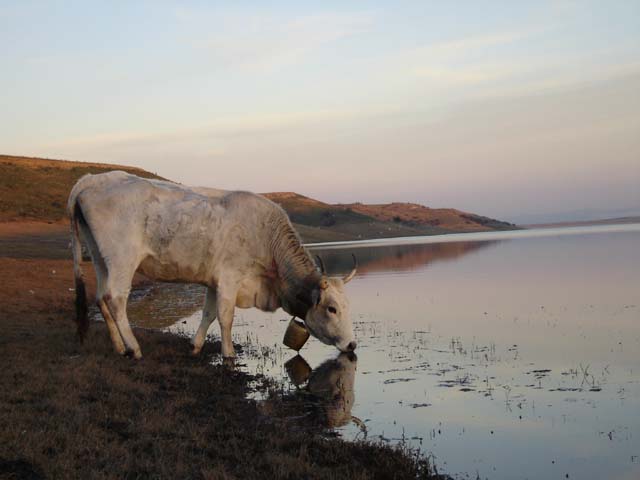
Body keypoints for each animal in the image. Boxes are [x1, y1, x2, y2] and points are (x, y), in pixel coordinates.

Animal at [68, 171, 358, 358]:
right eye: (331, 308)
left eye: (347, 306)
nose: (352, 345)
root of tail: (91, 179)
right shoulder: (230, 277)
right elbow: (225, 317)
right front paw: (228, 354)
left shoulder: (213, 281)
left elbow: (207, 313)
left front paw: (195, 346)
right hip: (122, 260)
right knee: (115, 299)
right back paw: (133, 348)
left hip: (100, 259)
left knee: (100, 298)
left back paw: (119, 347)